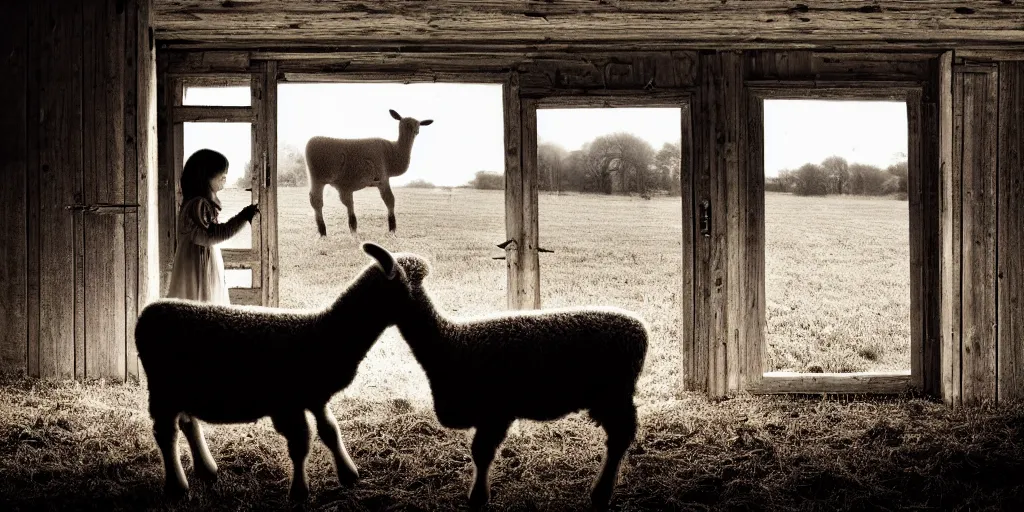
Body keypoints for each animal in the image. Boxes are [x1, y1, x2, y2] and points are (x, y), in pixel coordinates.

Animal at [134, 241, 405, 501]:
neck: (324, 329)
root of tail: (147, 313)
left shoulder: (314, 398)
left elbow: (330, 431)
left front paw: (348, 474)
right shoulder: (288, 404)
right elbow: (300, 443)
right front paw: (299, 491)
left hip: (182, 389)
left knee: (188, 423)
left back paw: (206, 469)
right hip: (163, 390)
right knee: (166, 433)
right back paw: (177, 487)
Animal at [303, 110, 432, 237]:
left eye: (418, 124)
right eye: (405, 124)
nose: (416, 131)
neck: (393, 151)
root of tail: (311, 141)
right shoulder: (382, 177)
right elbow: (390, 200)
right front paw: (392, 229)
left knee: (342, 202)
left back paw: (346, 229)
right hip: (317, 178)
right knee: (317, 201)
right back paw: (323, 232)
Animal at [380, 247, 651, 507]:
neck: (450, 341)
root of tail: (640, 328)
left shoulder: (496, 413)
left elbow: (481, 453)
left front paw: (478, 497)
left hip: (615, 396)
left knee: (619, 438)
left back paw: (601, 494)